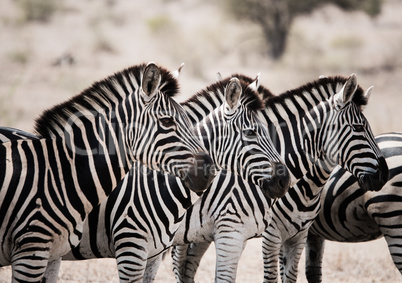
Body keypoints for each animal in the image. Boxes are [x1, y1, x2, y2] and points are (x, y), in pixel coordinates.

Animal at [172, 74, 390, 283]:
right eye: (358, 127)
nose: (384, 174)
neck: (308, 189)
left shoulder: (299, 235)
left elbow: (291, 277)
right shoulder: (268, 234)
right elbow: (270, 277)